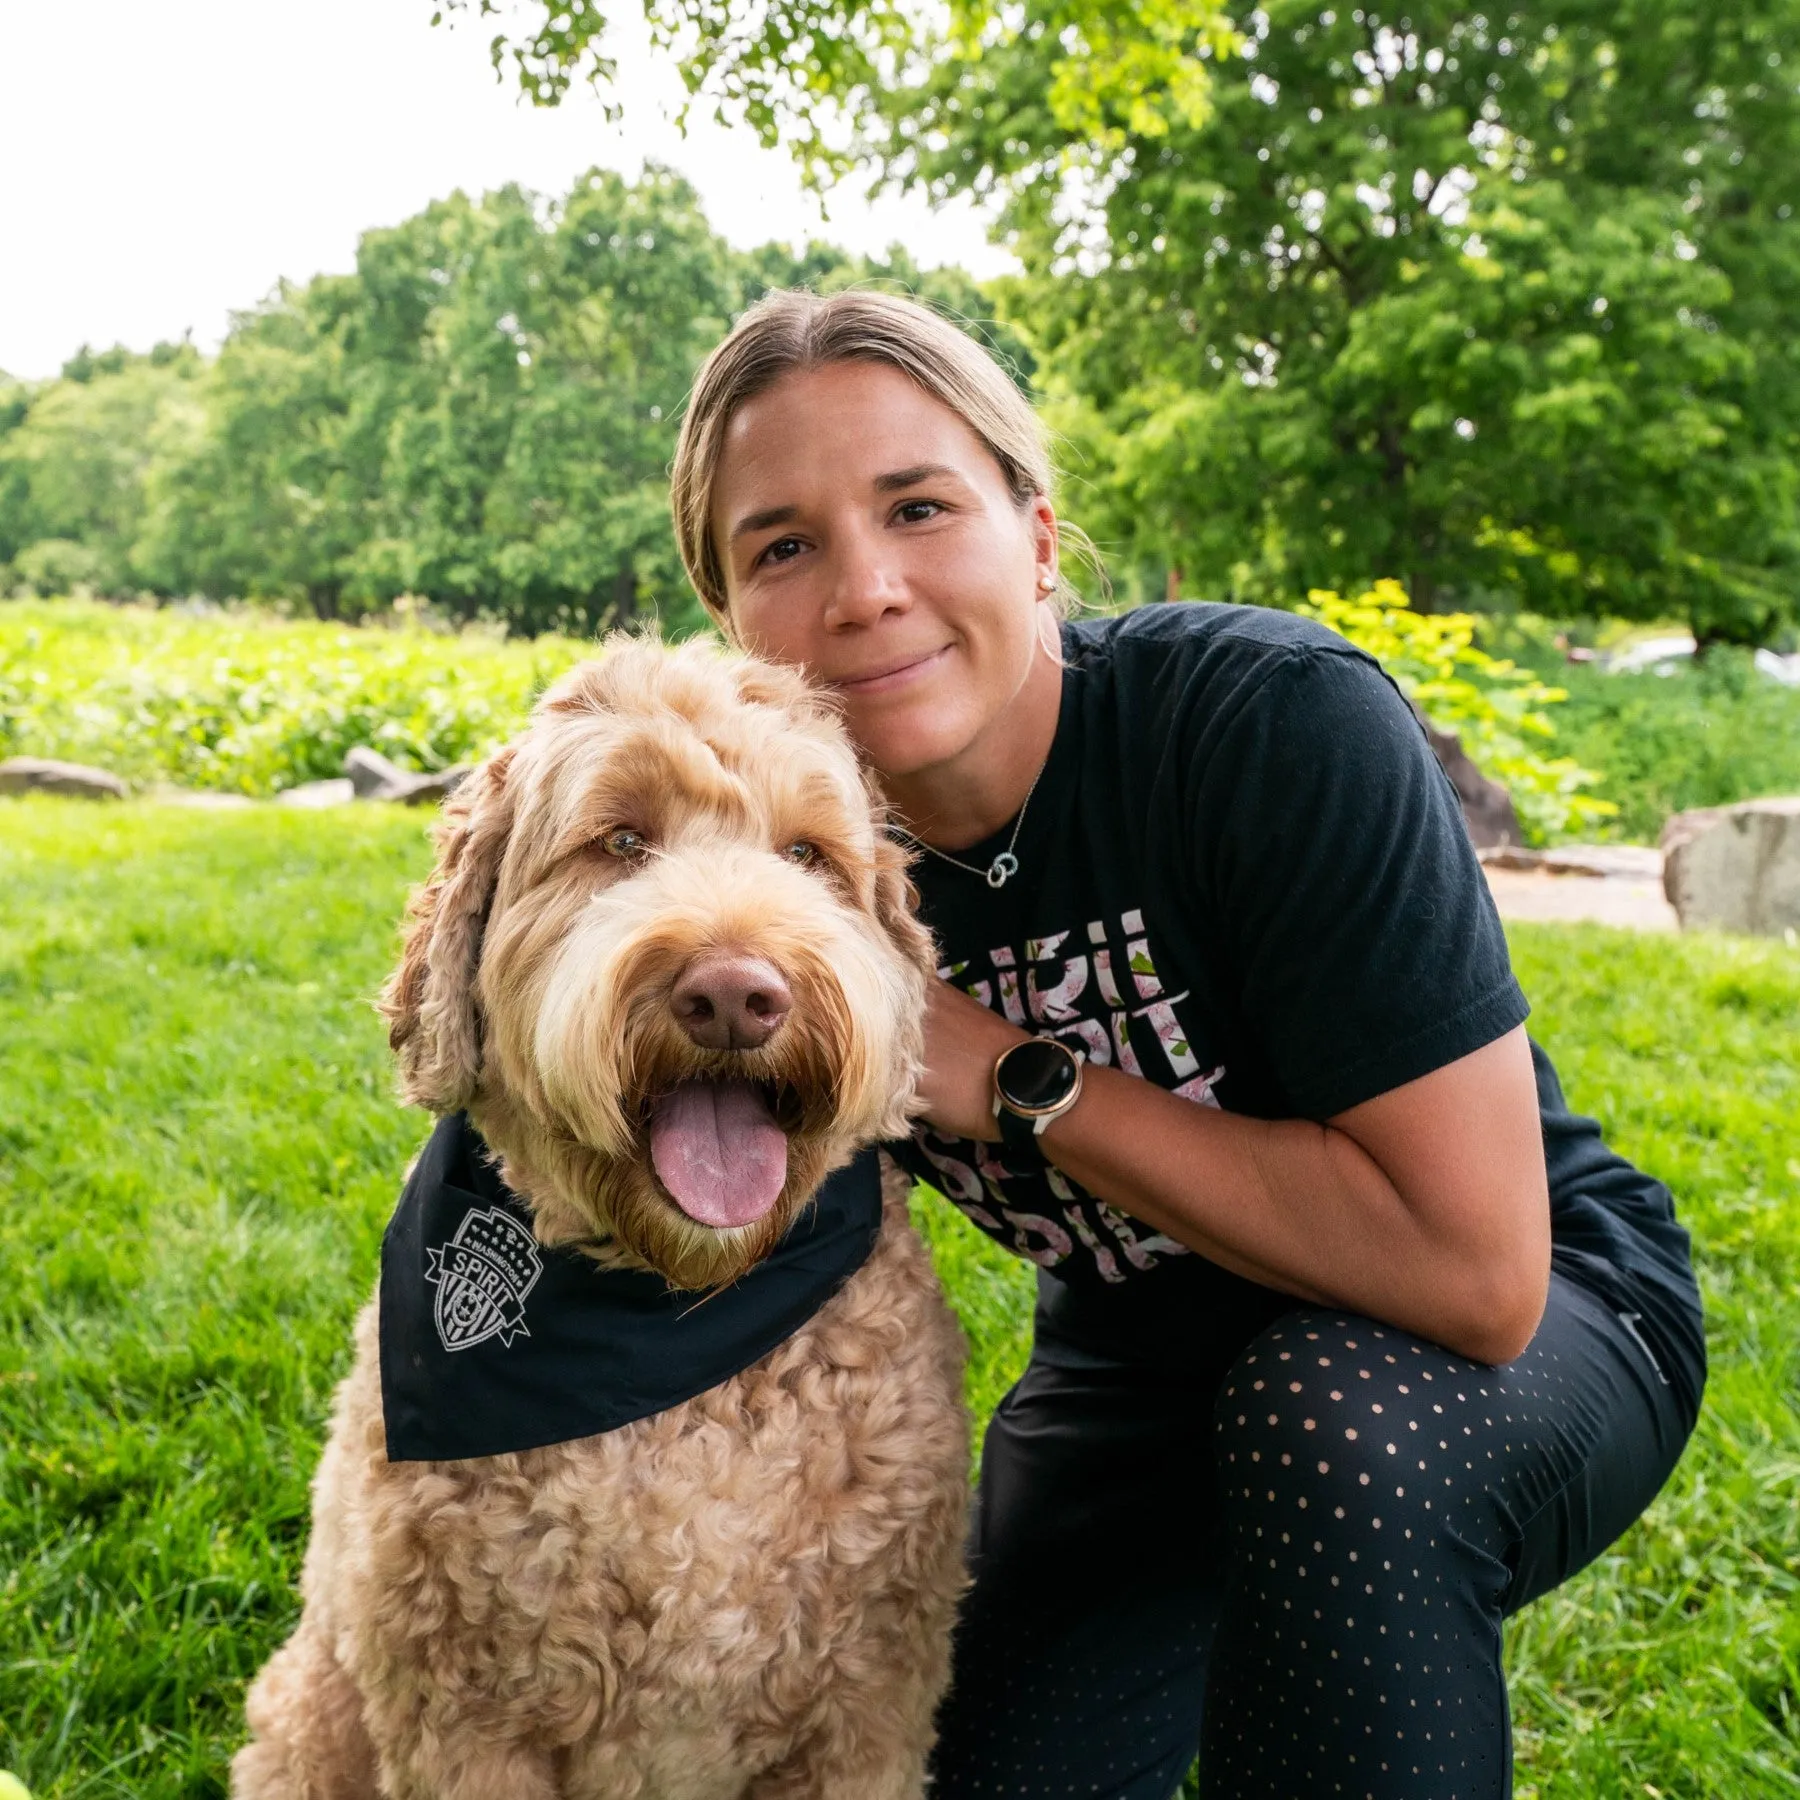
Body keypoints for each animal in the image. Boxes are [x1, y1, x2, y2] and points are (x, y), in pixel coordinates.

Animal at [239, 644, 979, 1800]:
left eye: (807, 855)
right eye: (621, 841)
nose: (737, 993)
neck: (674, 1318)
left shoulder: (869, 1706)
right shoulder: (461, 1721)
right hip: (305, 1718)